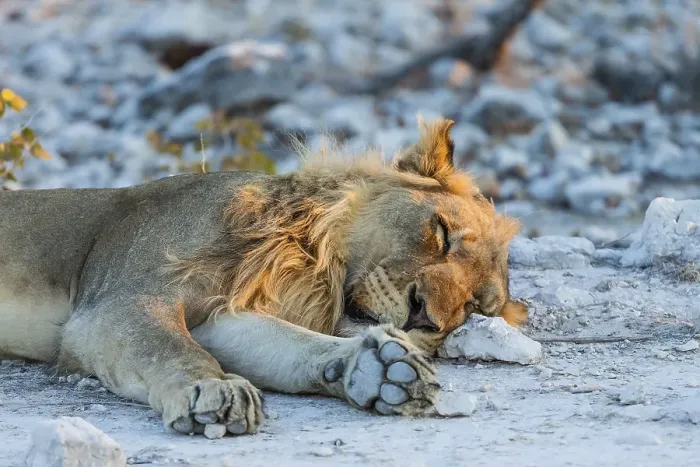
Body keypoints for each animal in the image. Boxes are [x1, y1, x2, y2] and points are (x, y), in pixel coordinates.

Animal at [0, 117, 526, 437]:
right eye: (442, 234)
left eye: (472, 307)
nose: (423, 316)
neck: (302, 254)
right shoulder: (118, 302)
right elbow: (169, 347)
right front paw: (211, 390)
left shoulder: (220, 317)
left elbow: (293, 345)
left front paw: (376, 370)